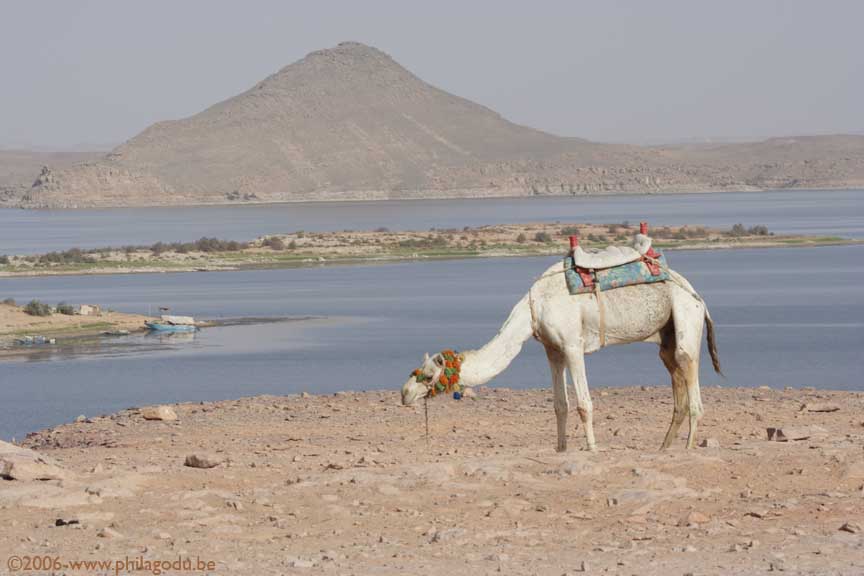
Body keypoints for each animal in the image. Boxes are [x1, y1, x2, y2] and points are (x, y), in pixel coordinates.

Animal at [401, 244, 721, 452]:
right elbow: (559, 405)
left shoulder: (572, 345)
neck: (534, 308)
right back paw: (663, 447)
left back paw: (688, 447)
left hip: (685, 318)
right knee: (674, 373)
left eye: (428, 375)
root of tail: (698, 297)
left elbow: (583, 404)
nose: (404, 394)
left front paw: (592, 448)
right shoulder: (552, 350)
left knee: (689, 373)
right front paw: (561, 448)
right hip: (666, 335)